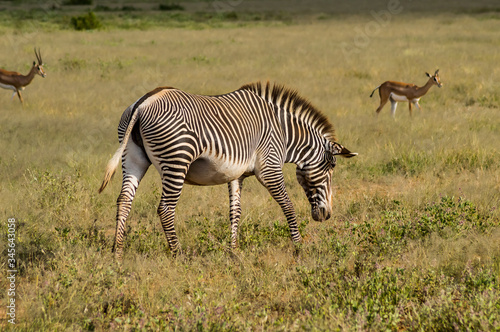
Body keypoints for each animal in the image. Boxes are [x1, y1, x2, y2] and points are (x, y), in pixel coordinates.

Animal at [98, 81, 356, 258]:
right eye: (332, 167)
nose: (326, 215)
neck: (284, 134)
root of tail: (144, 102)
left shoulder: (236, 175)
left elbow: (235, 212)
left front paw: (233, 251)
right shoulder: (270, 168)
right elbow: (288, 205)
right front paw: (299, 246)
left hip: (133, 157)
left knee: (124, 200)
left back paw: (117, 252)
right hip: (177, 160)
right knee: (165, 208)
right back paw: (178, 254)